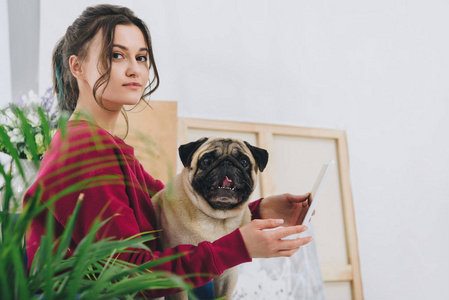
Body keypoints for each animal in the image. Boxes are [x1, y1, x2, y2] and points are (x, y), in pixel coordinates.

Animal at [152, 137, 268, 298]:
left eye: (244, 161)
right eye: (206, 160)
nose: (226, 163)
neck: (217, 218)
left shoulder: (228, 275)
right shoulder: (177, 279)